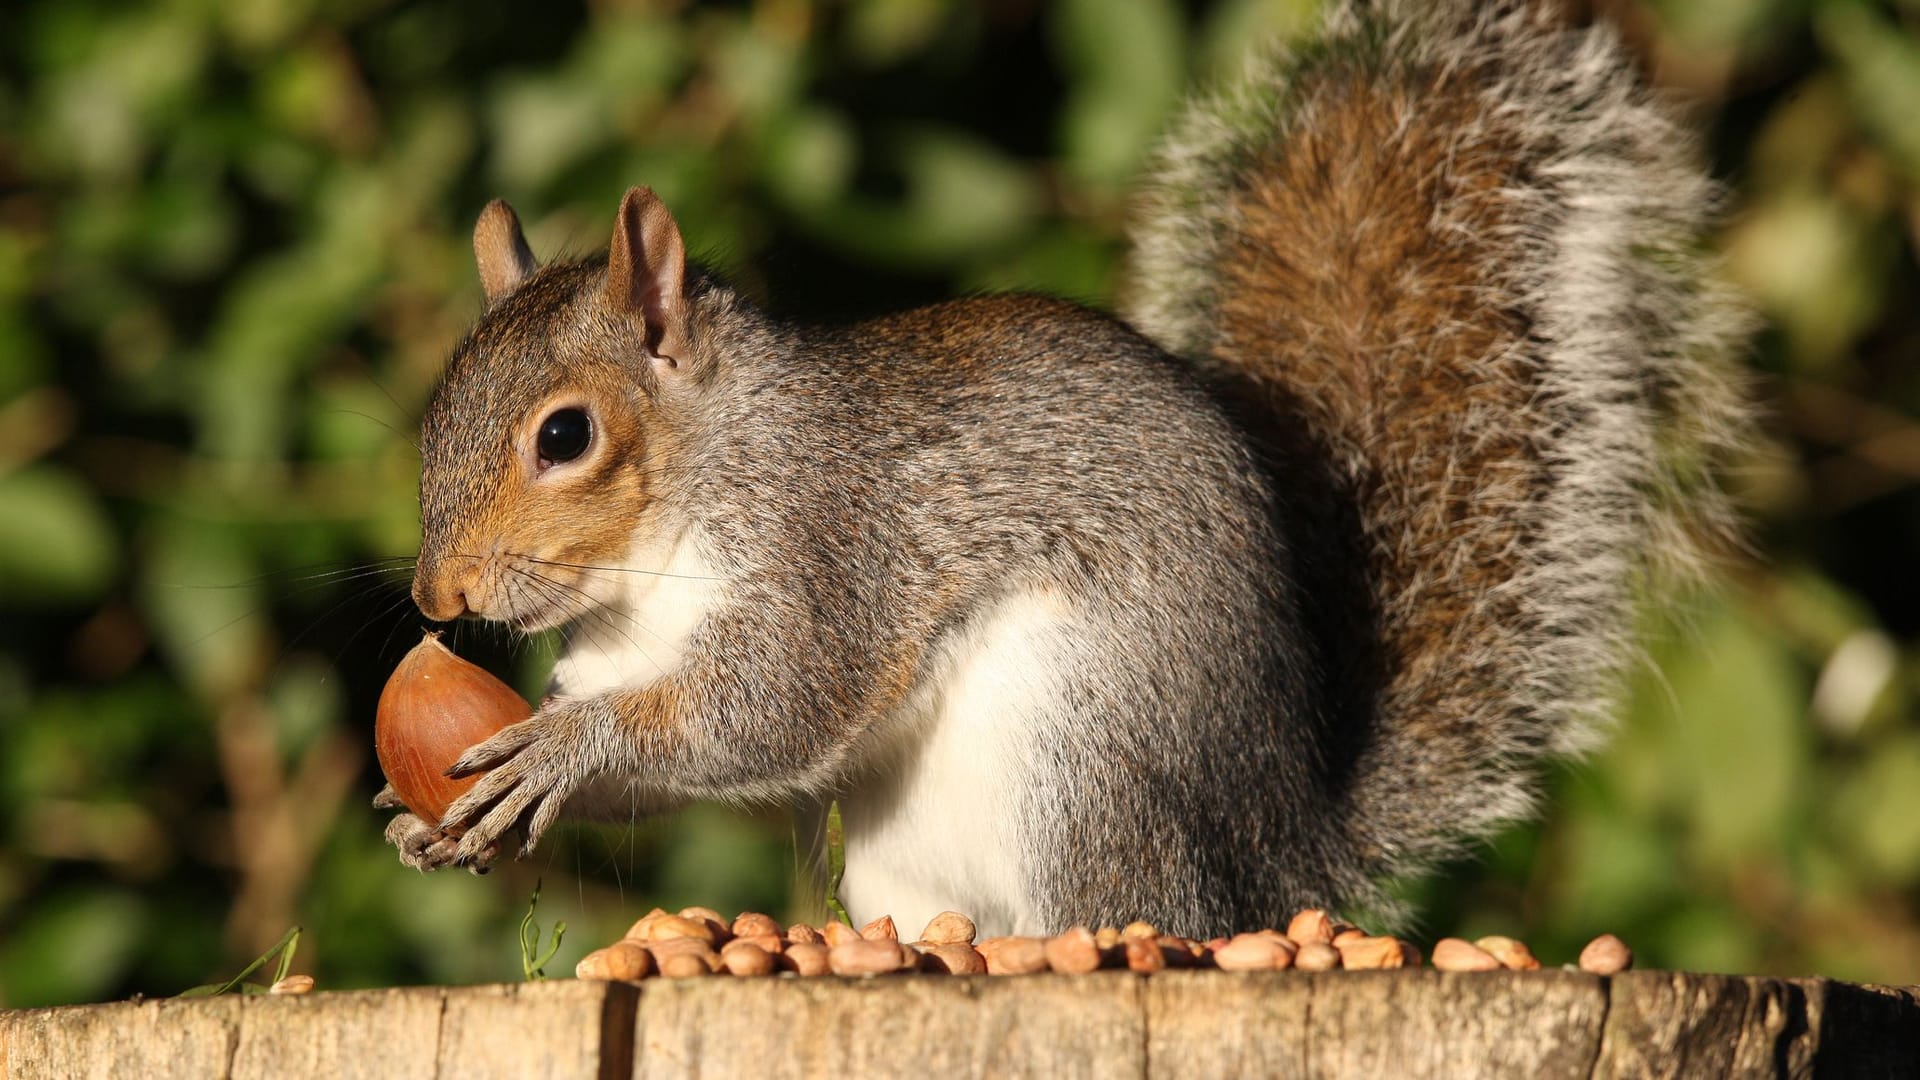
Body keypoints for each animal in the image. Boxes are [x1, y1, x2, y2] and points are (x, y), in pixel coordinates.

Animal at [374, 0, 1758, 933]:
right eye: (437, 407)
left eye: (565, 437)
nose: (438, 599)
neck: (662, 547)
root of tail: (1280, 861)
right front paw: (442, 820)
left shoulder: (831, 543)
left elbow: (768, 708)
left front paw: (565, 754)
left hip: (1080, 764)